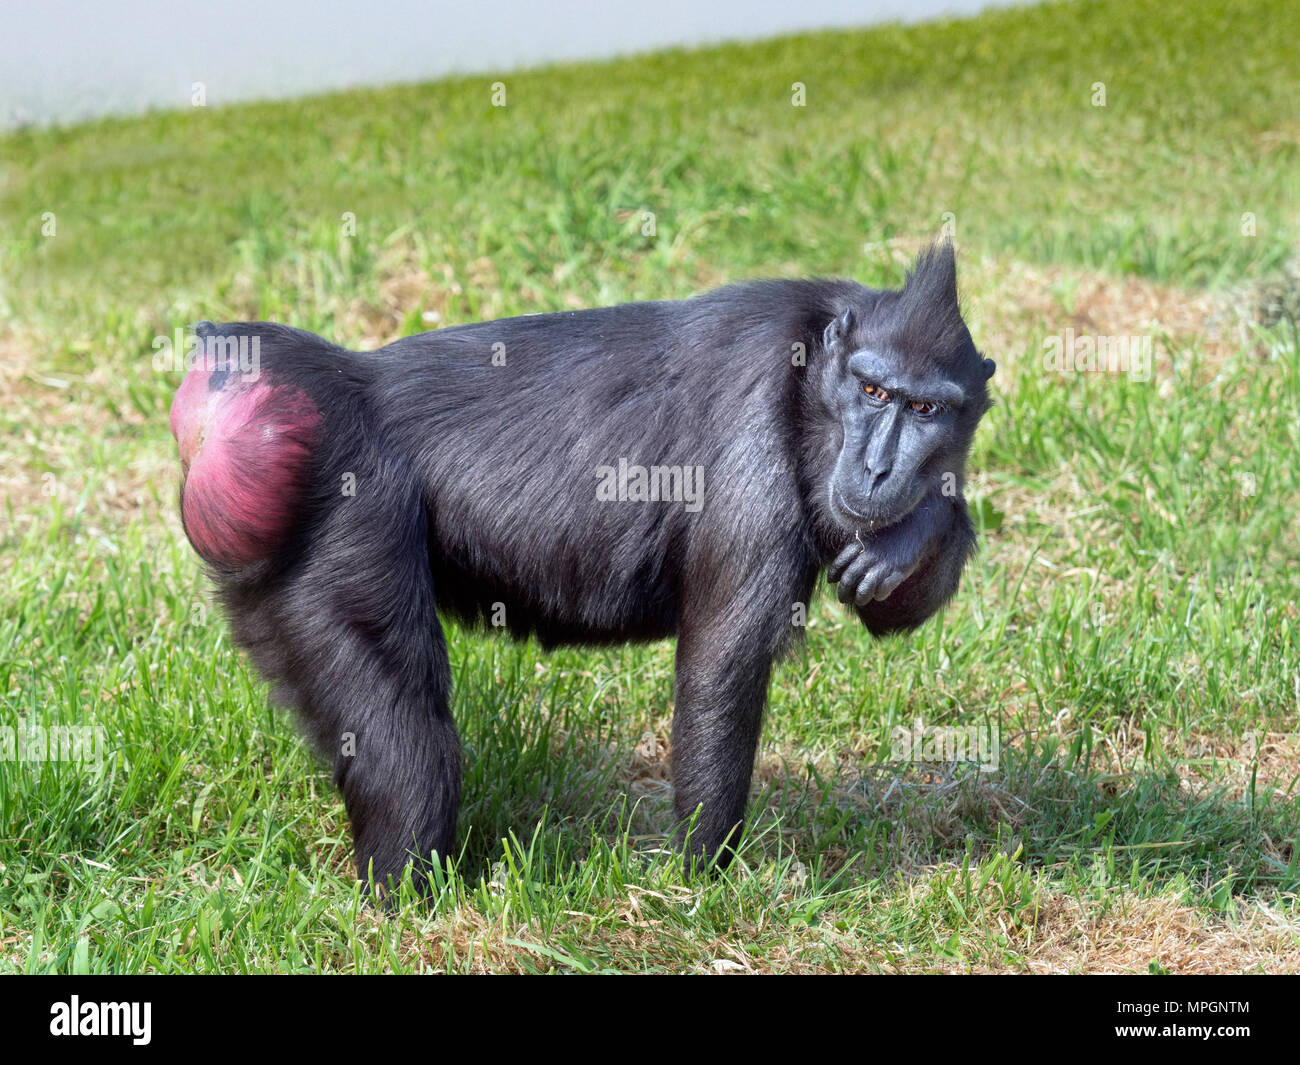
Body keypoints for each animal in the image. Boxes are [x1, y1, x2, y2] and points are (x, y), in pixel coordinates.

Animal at [167, 241, 987, 889]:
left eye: (925, 409)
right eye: (873, 390)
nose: (878, 470)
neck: (815, 372)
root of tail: (329, 377)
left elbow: (887, 607)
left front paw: (919, 529)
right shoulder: (752, 431)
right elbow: (723, 665)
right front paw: (703, 885)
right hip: (346, 517)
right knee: (409, 746)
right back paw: (405, 908)